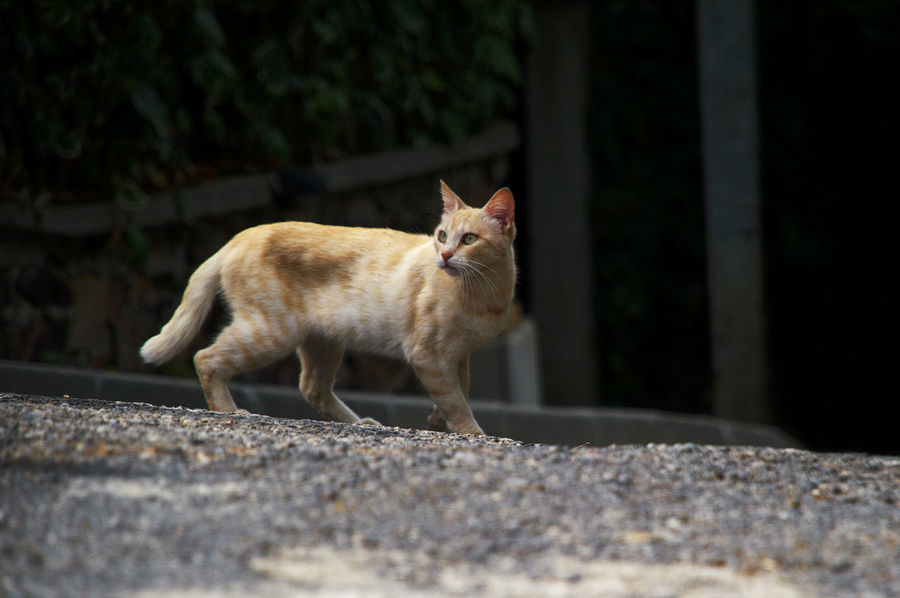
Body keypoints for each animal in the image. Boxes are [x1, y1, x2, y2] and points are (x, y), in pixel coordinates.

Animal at [143, 182, 516, 436]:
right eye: (441, 236)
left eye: (468, 239)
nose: (445, 256)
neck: (481, 291)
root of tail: (238, 237)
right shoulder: (426, 353)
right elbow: (456, 399)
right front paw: (473, 433)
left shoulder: (457, 354)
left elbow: (459, 389)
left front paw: (438, 418)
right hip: (269, 333)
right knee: (205, 358)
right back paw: (231, 411)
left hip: (322, 340)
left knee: (312, 388)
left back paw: (362, 423)